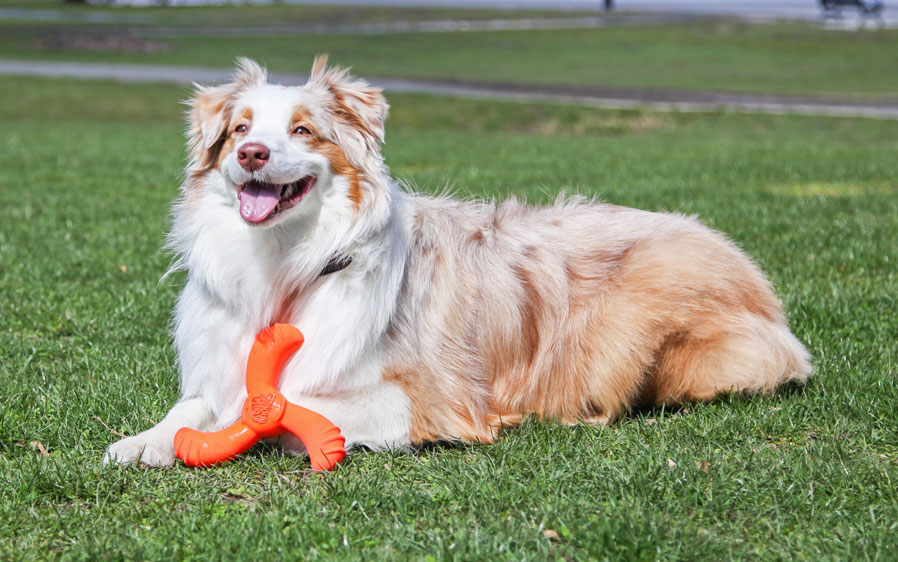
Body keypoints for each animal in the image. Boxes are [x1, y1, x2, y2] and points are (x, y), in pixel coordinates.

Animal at [105, 57, 812, 466]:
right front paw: (144, 441)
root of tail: (752, 272)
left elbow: (290, 406)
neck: (285, 268)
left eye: (303, 130)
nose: (251, 153)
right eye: (240, 128)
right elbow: (194, 406)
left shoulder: (430, 399)